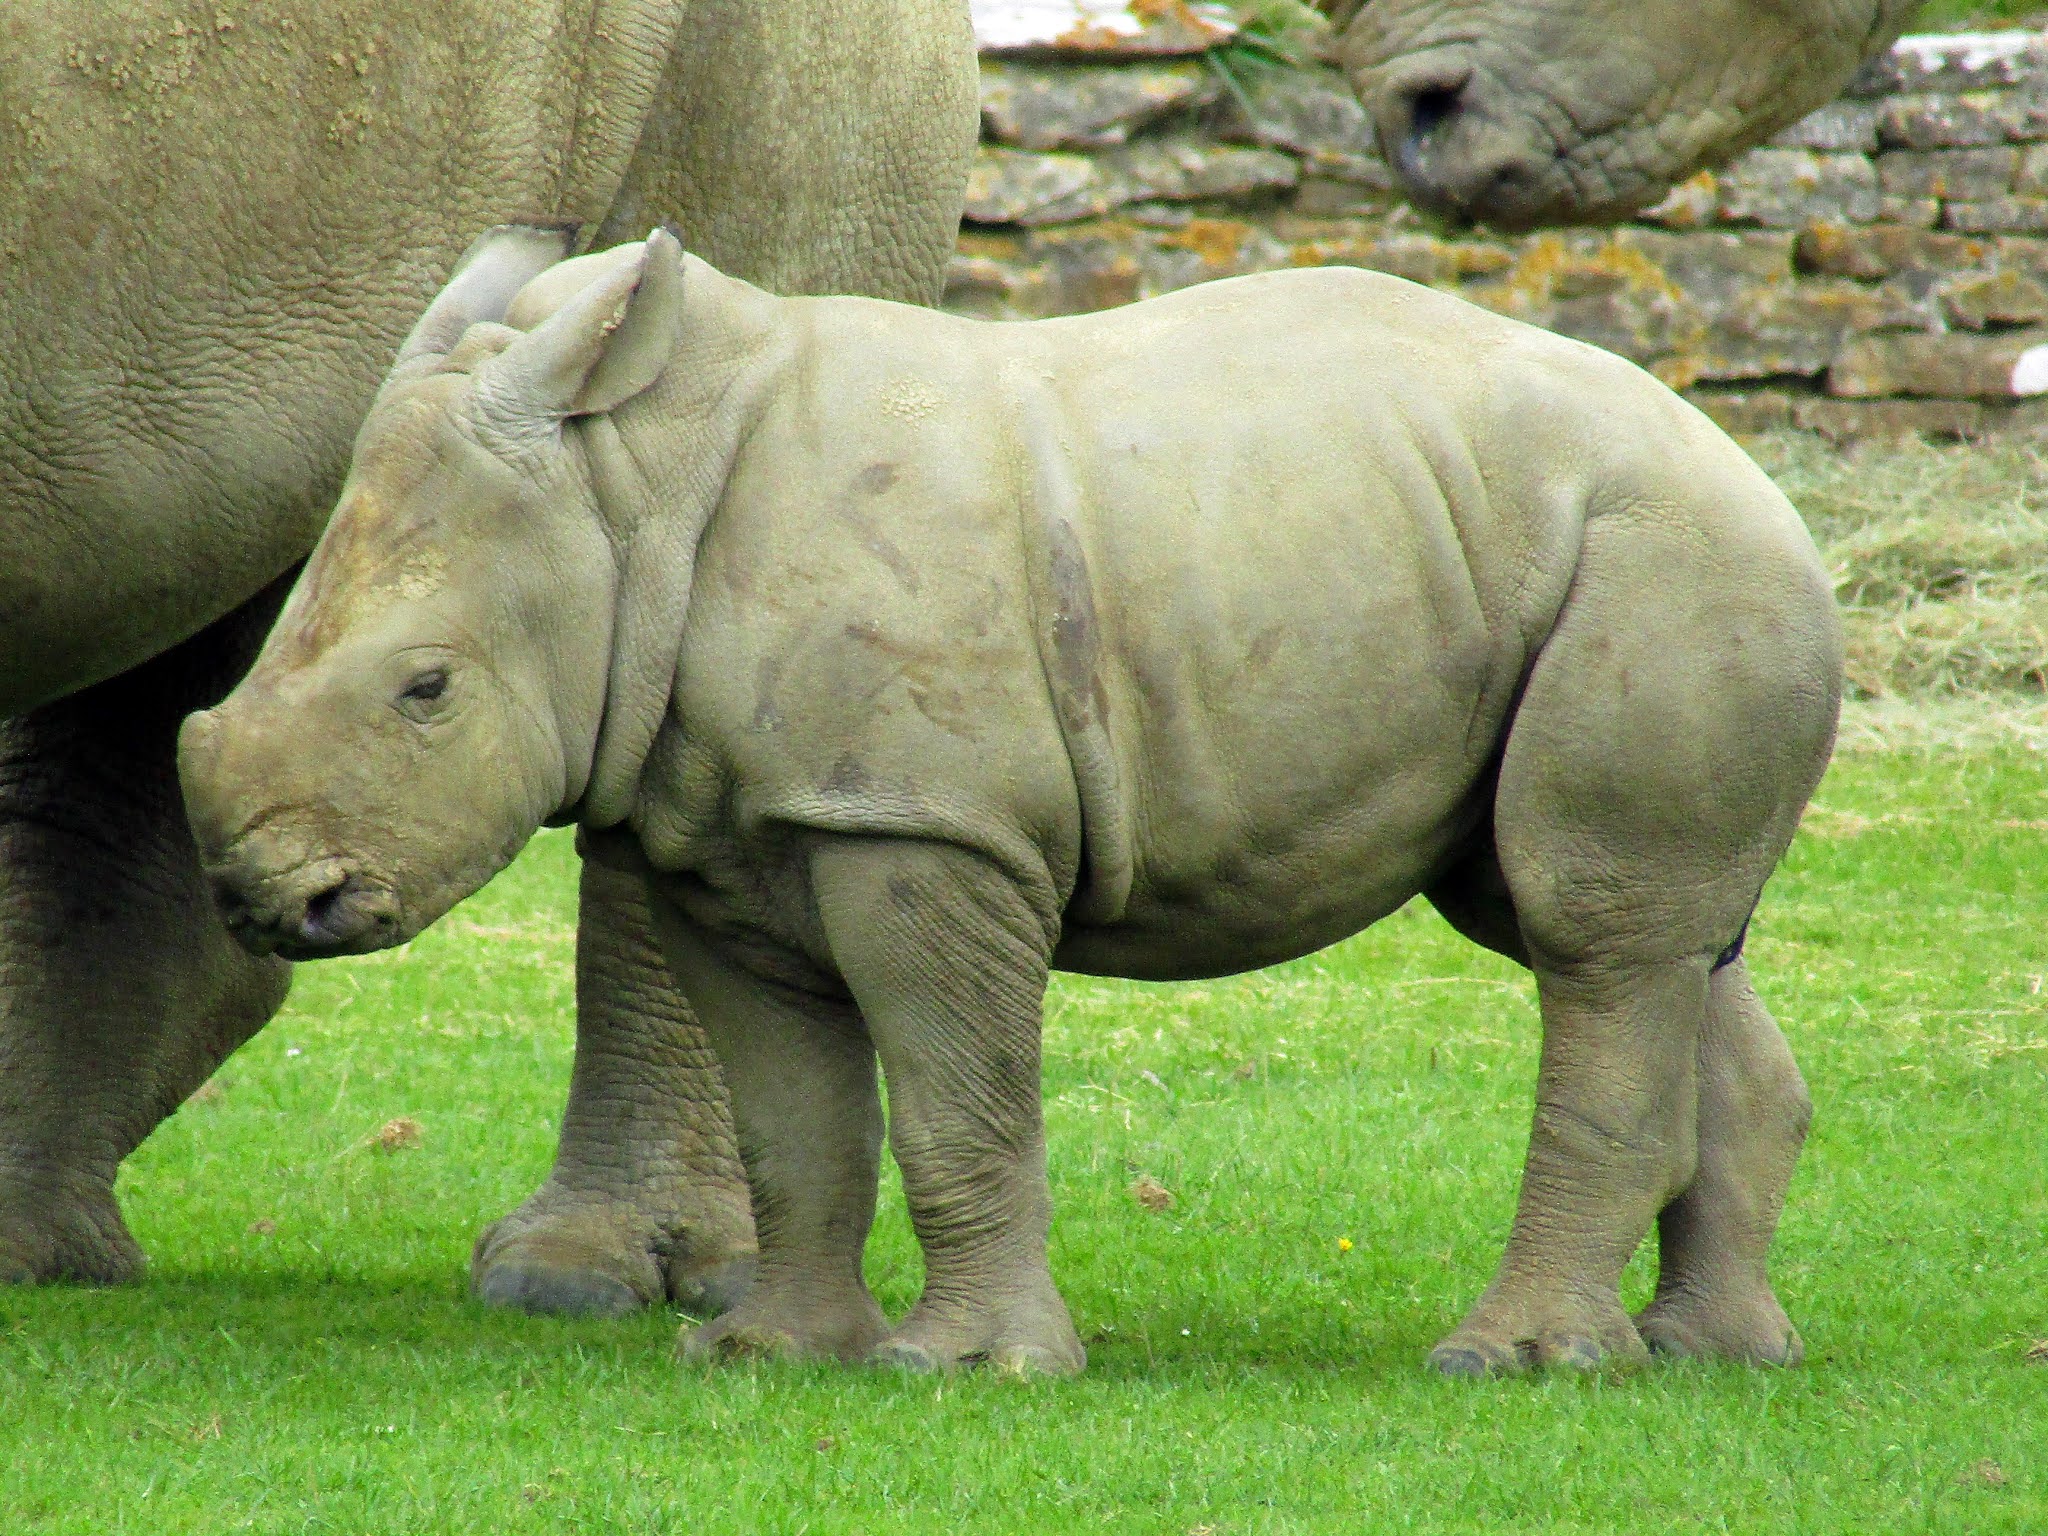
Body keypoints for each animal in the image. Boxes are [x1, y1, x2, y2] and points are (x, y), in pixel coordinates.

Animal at [180, 222, 1843, 1376]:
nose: (267, 903)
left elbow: (954, 1097)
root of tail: (1757, 470)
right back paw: (1708, 1355)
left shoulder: (923, 821)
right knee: (1644, 935)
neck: (632, 489)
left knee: (1589, 934)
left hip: (1667, 554)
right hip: (1557, 549)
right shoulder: (729, 829)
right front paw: (766, 1355)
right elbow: (793, 1119)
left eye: (426, 692)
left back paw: (1514, 1365)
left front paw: (967, 1370)